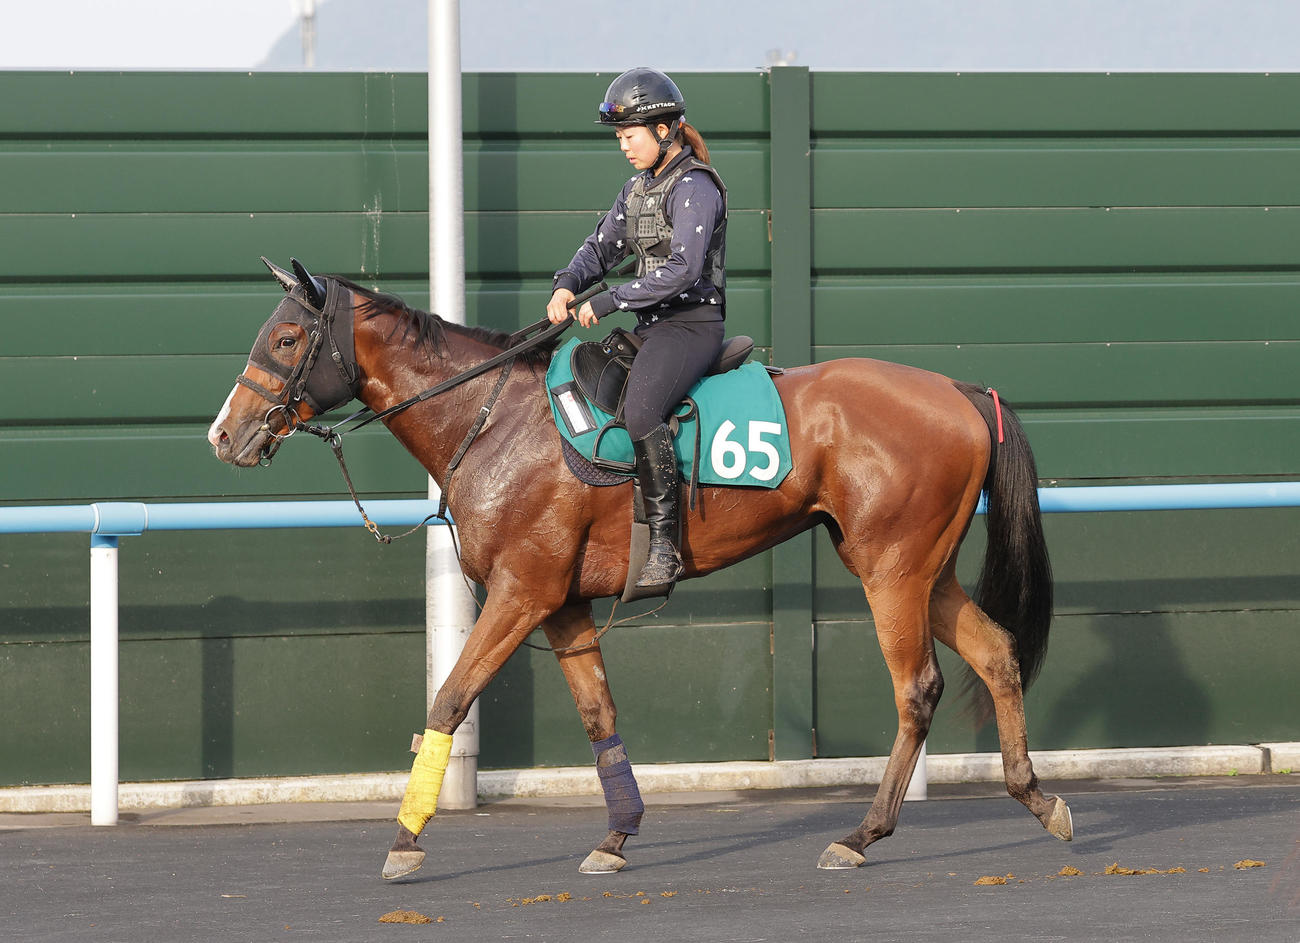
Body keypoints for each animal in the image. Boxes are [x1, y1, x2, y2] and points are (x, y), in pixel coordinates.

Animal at [207, 257, 1072, 882]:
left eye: (286, 340)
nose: (224, 433)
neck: (492, 417)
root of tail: (961, 390)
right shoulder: (562, 604)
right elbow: (599, 714)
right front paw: (617, 835)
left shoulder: (520, 592)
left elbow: (449, 697)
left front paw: (405, 836)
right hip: (922, 570)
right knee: (996, 653)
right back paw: (1037, 797)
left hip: (890, 570)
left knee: (916, 688)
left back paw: (863, 833)